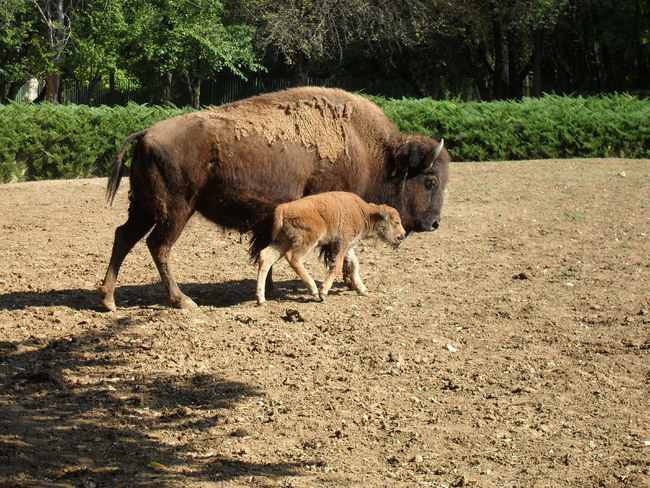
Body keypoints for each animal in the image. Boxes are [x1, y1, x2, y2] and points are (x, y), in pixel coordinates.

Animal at [254, 192, 402, 304]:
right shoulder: (342, 243)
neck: (363, 213)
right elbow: (337, 265)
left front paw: (363, 290)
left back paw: (261, 299)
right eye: (397, 222)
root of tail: (282, 208)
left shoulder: (347, 246)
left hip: (283, 242)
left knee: (266, 257)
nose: (402, 236)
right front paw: (323, 292)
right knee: (293, 257)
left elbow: (354, 264)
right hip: (307, 241)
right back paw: (314, 291)